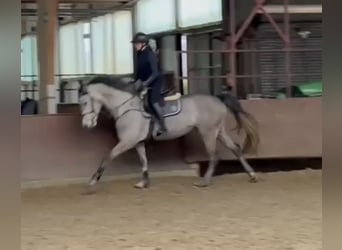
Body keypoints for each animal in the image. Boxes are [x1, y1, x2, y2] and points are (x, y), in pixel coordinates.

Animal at [78, 75, 260, 188]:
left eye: (85, 102)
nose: (86, 125)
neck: (126, 106)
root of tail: (217, 98)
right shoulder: (137, 142)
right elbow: (143, 161)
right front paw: (143, 183)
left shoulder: (127, 141)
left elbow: (107, 156)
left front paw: (93, 181)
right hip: (219, 131)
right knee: (235, 149)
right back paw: (252, 175)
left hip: (207, 132)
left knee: (214, 156)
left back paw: (204, 182)